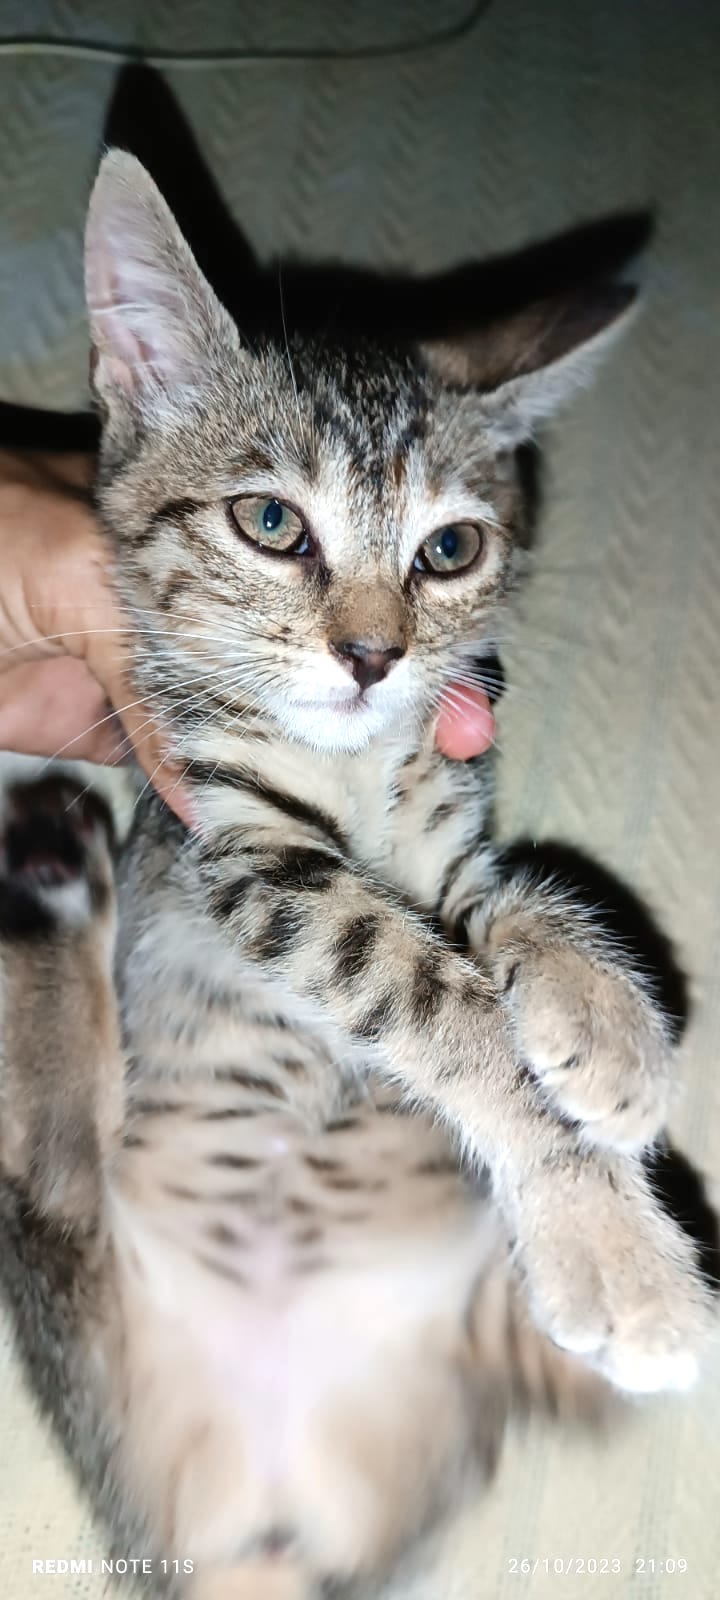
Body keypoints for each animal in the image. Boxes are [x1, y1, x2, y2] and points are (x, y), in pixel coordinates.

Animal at [0, 152, 707, 1600]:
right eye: (272, 522)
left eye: (450, 549)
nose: (375, 656)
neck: (359, 771)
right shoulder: (232, 843)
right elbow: (425, 984)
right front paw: (610, 1240)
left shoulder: (441, 831)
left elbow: (499, 896)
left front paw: (608, 1020)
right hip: (93, 1303)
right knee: (55, 1183)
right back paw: (51, 877)